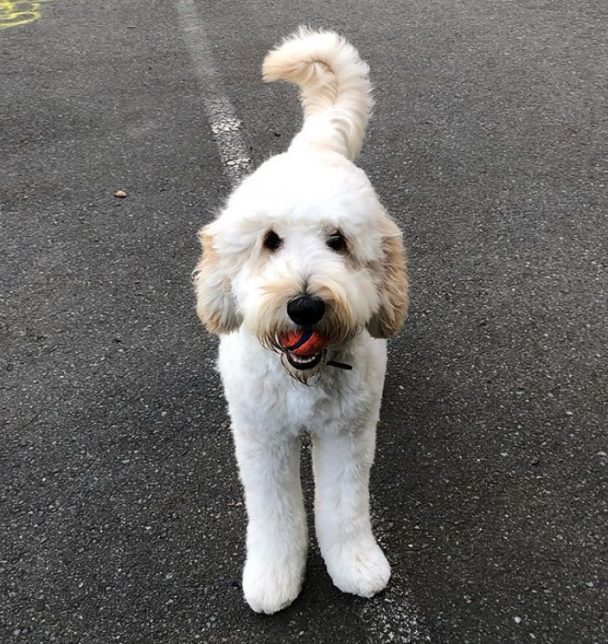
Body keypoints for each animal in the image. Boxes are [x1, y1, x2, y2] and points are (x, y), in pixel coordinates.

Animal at [195, 28, 408, 612]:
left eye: (338, 241)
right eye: (270, 241)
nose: (305, 304)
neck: (304, 377)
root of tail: (312, 148)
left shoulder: (348, 434)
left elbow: (344, 506)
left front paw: (357, 564)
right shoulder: (261, 437)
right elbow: (274, 511)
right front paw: (274, 575)